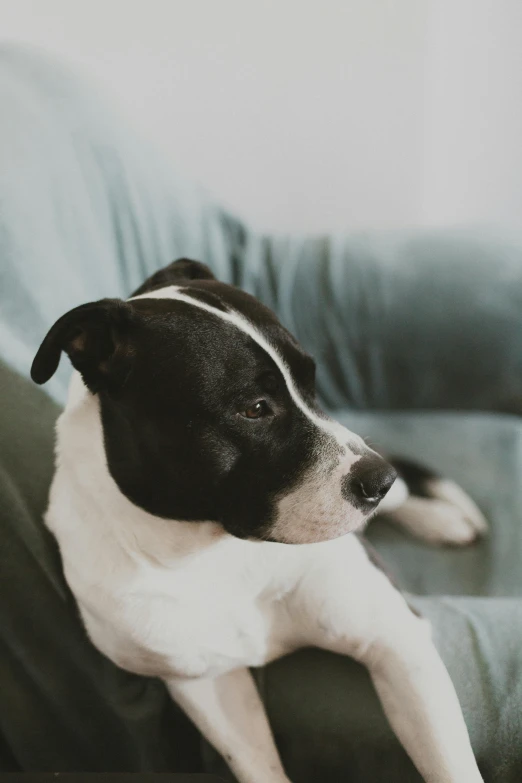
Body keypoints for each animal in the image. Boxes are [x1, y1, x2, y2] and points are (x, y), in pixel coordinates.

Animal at [31, 262, 484, 783]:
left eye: (310, 383)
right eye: (255, 409)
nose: (378, 479)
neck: (212, 551)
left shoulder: (396, 640)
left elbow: (451, 766)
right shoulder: (209, 684)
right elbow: (257, 765)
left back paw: (443, 518)